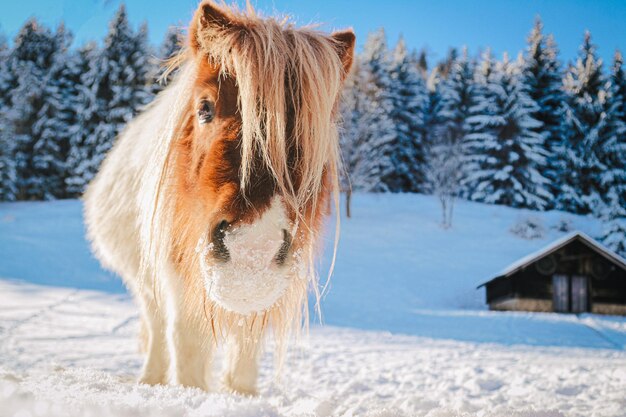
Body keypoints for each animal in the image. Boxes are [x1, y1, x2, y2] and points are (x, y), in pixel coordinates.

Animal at [83, 1, 354, 394]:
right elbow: (187, 358)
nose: (252, 249)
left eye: (310, 130)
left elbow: (241, 369)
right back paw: (150, 380)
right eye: (205, 108)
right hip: (147, 283)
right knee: (156, 330)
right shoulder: (178, 287)